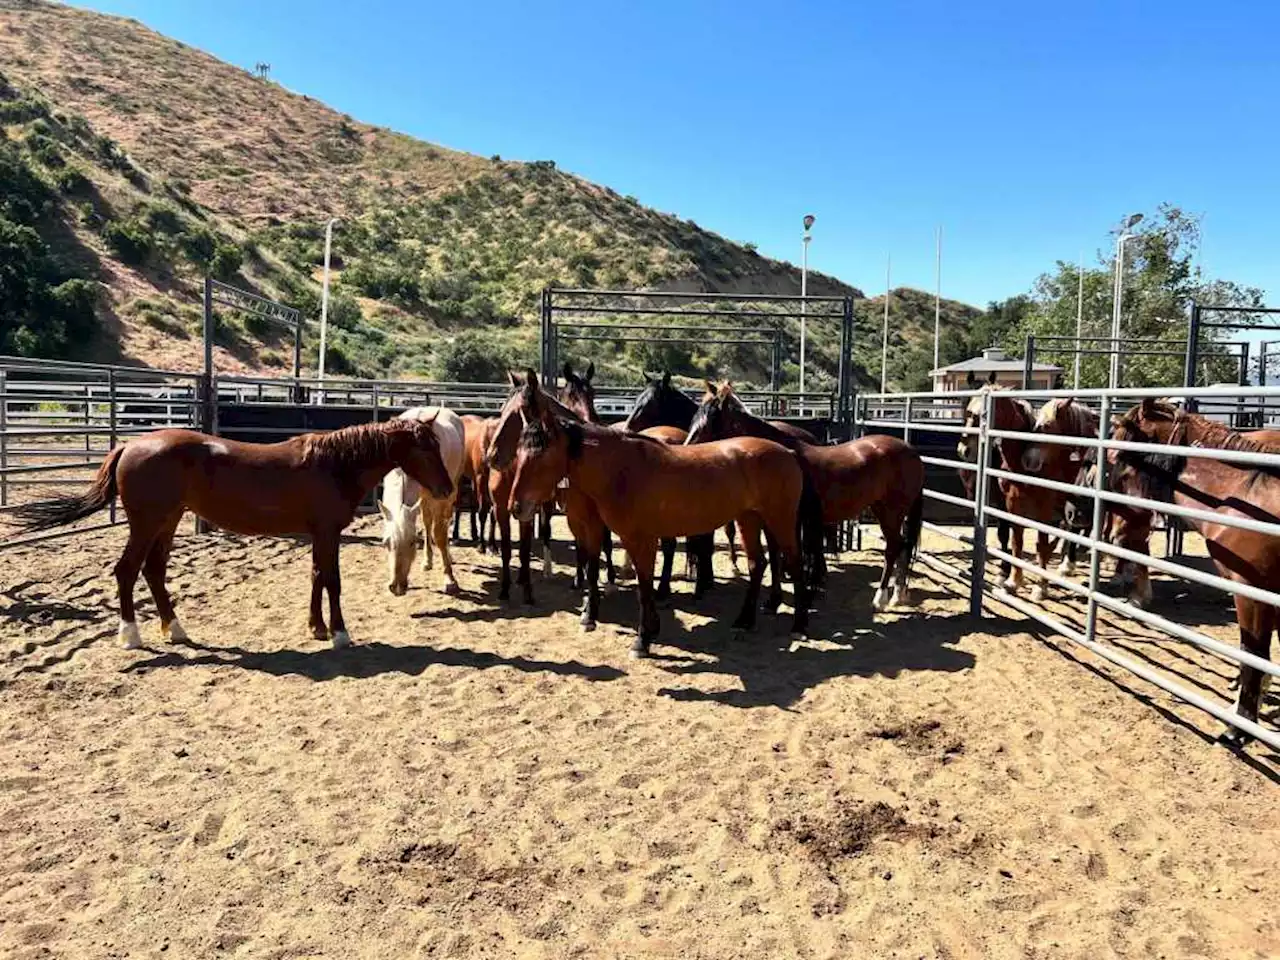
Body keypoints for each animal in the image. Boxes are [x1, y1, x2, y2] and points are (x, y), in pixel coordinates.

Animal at [12, 422, 453, 655]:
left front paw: (317, 628)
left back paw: (175, 629)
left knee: (153, 571)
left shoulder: (319, 534)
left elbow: (315, 577)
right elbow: (332, 581)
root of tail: (130, 445)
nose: (448, 488)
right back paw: (131, 636)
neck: (333, 464)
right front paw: (340, 635)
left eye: (438, 446)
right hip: (146, 522)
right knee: (127, 571)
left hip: (168, 520)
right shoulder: (328, 532)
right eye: (425, 449)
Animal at [376, 407, 468, 601]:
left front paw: (450, 579)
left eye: (413, 542)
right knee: (427, 522)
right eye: (385, 543)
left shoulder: (440, 497)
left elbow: (439, 535)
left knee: (444, 523)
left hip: (451, 491)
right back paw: (427, 560)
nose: (397, 587)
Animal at [488, 371, 819, 660]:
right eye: (521, 451)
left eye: (541, 454)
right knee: (757, 564)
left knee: (793, 563)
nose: (516, 506)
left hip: (780, 520)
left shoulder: (641, 539)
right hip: (748, 519)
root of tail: (787, 452)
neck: (623, 470)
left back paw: (799, 625)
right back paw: (744, 621)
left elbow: (645, 588)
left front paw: (642, 640)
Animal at [686, 381, 926, 609]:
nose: (687, 451)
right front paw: (773, 601)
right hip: (884, 509)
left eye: (711, 419)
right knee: (903, 547)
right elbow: (775, 556)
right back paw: (898, 594)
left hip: (891, 512)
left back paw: (881, 598)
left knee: (893, 547)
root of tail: (910, 450)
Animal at [1111, 399, 1280, 742]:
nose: (1116, 534)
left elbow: (1252, 653)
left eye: (1123, 461)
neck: (1242, 497)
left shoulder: (1252, 592)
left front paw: (1239, 725)